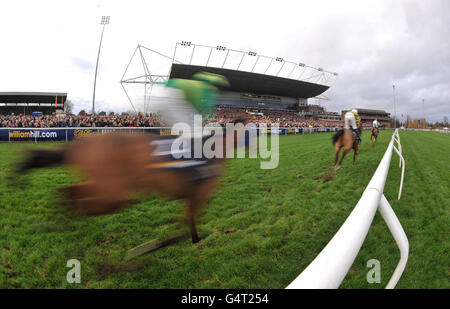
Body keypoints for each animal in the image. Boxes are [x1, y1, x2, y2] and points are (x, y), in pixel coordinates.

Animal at [16, 119, 250, 255]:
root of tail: (81, 146)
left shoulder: (192, 196)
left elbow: (188, 224)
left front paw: (192, 239)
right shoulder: (199, 195)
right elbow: (184, 227)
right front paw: (156, 246)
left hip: (103, 186)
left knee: (68, 192)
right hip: (112, 193)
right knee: (78, 200)